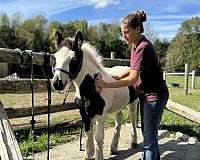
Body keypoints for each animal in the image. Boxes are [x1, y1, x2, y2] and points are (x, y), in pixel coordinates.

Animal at [52, 31, 138, 160]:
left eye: (74, 58)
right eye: (55, 57)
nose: (57, 83)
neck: (92, 86)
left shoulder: (101, 114)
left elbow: (98, 137)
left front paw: (98, 156)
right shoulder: (84, 113)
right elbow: (88, 133)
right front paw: (88, 155)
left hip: (132, 103)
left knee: (132, 120)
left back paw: (134, 142)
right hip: (117, 106)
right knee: (118, 122)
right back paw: (113, 147)